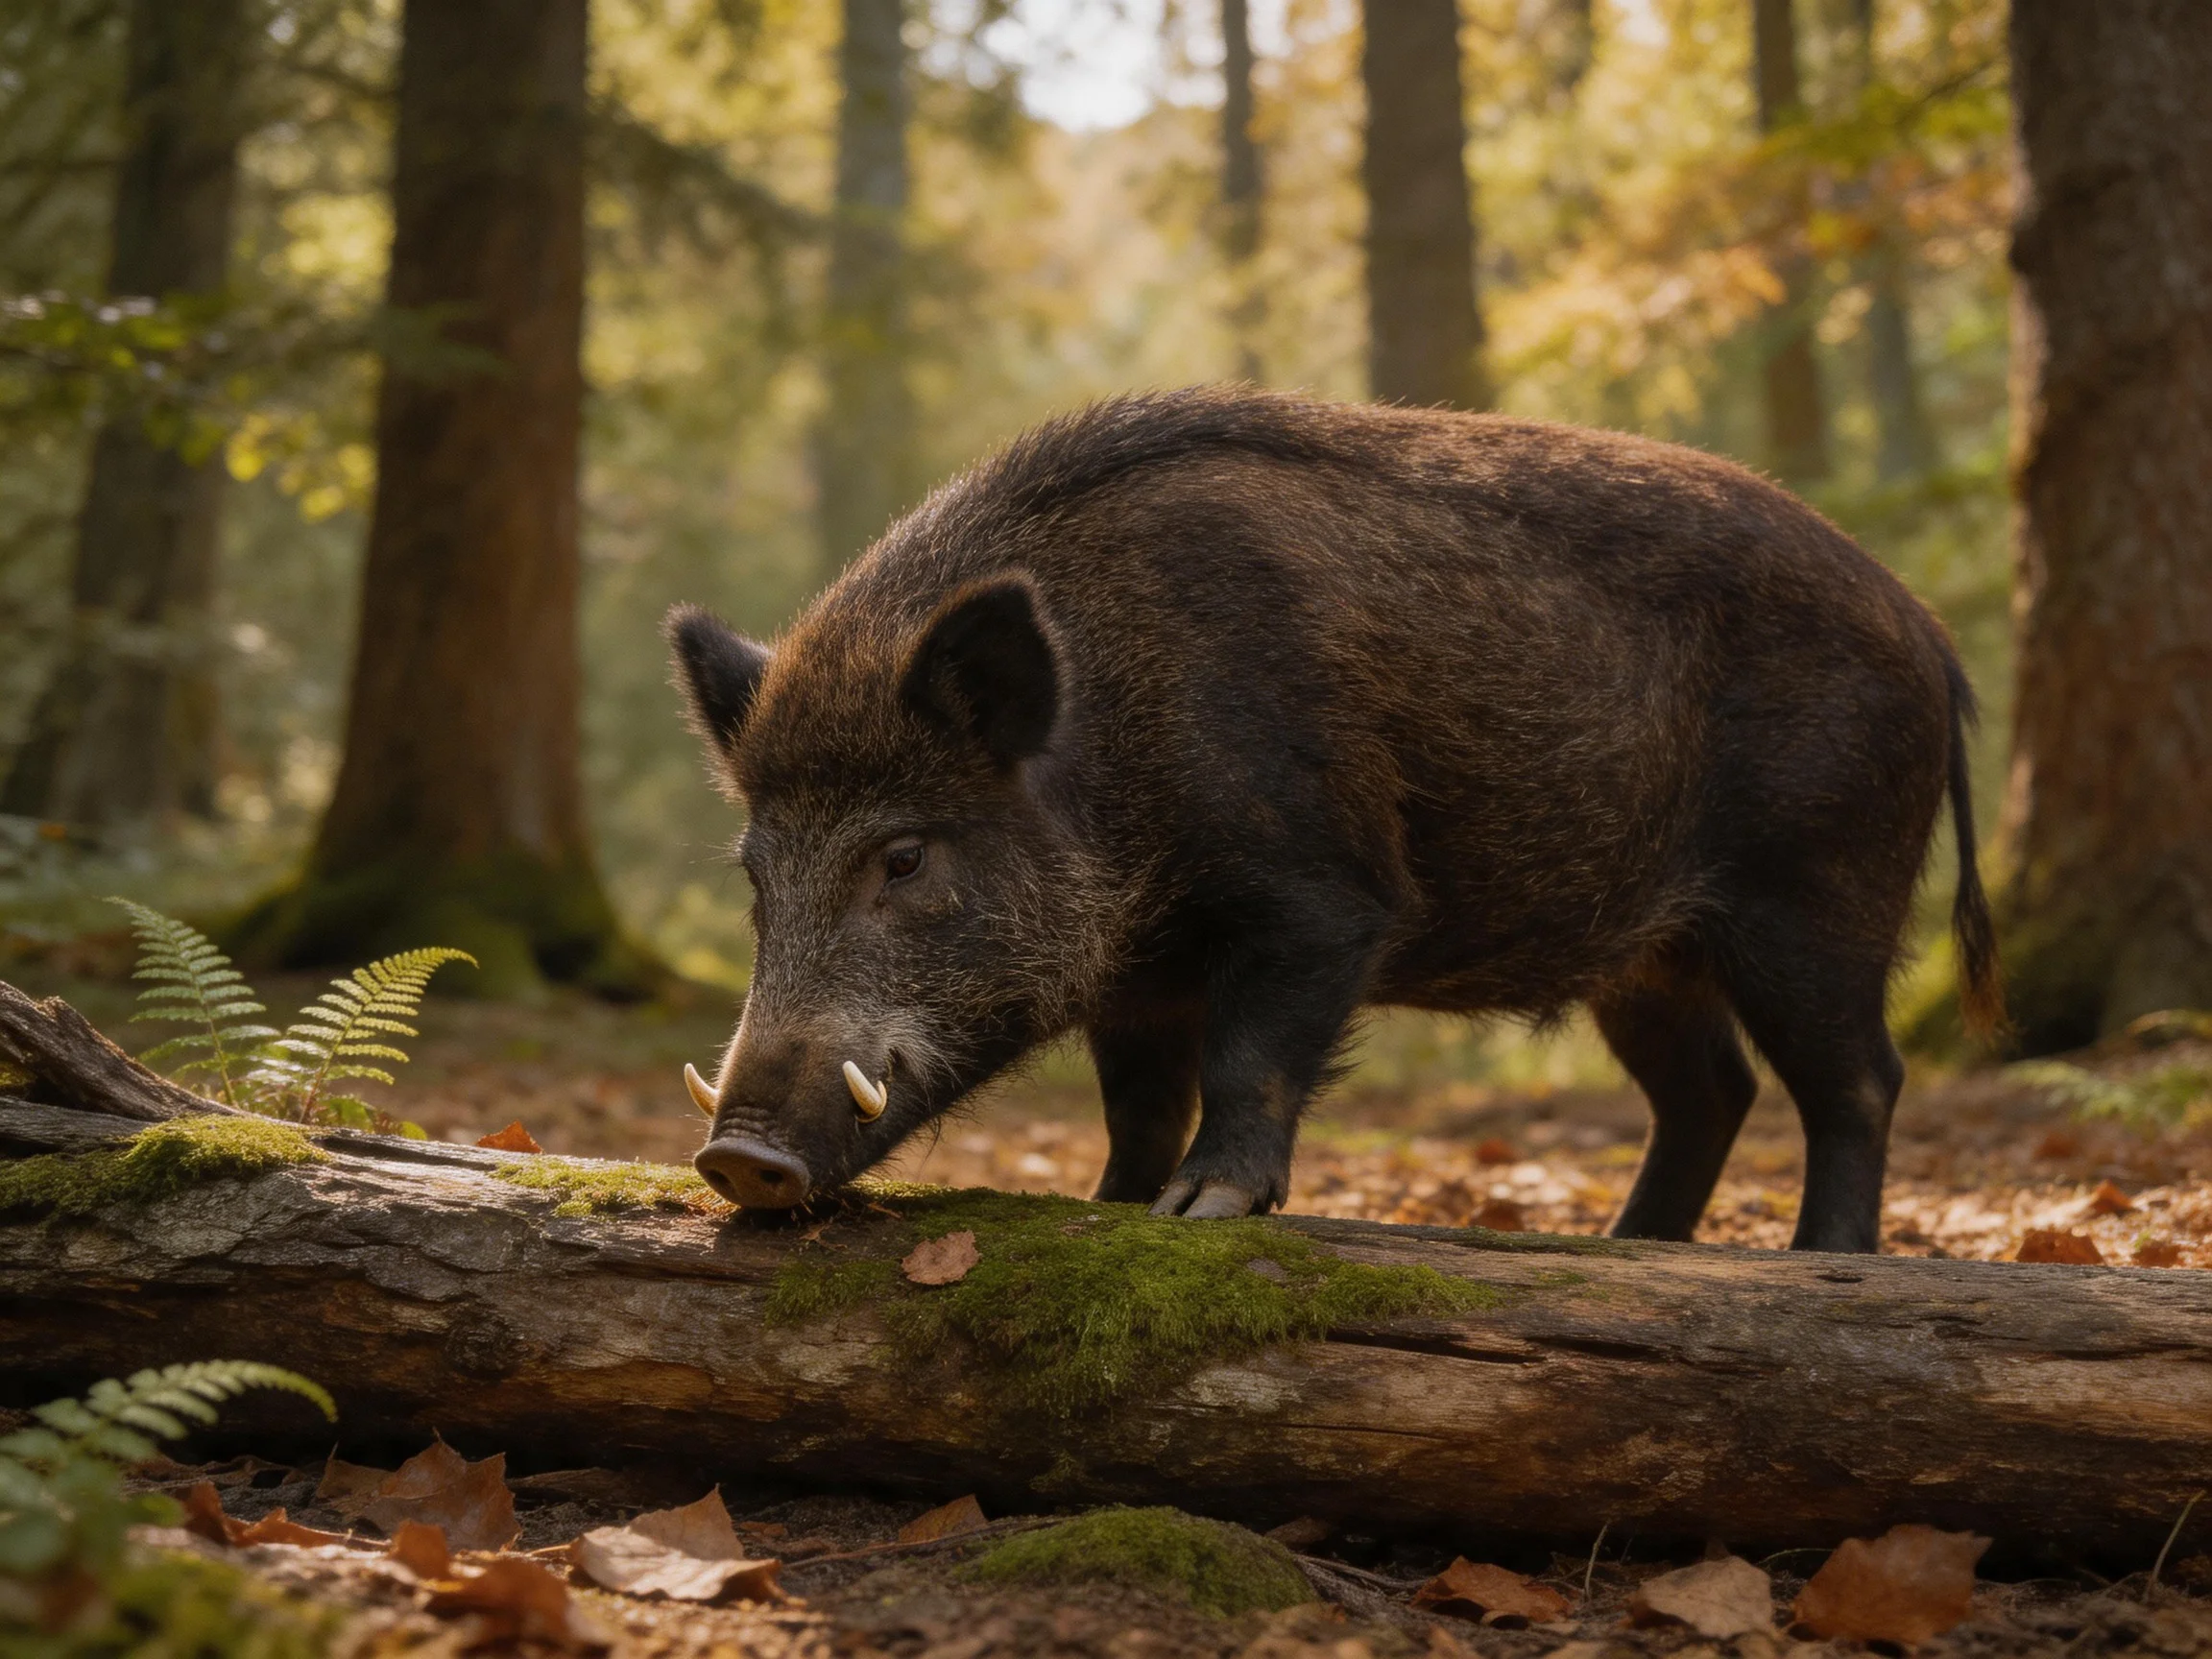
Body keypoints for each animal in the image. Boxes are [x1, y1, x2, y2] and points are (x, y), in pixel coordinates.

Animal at [669, 387, 1999, 1251]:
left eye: (903, 856)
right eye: (754, 877)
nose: (739, 1158)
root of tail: (1930, 635)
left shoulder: (1319, 896)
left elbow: (1248, 1060)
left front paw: (1199, 1212)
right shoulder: (1138, 976)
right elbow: (1138, 1101)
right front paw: (1111, 1209)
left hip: (1818, 890)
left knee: (1858, 1079)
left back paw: (1824, 1262)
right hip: (1648, 955)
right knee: (1709, 1089)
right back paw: (1633, 1250)